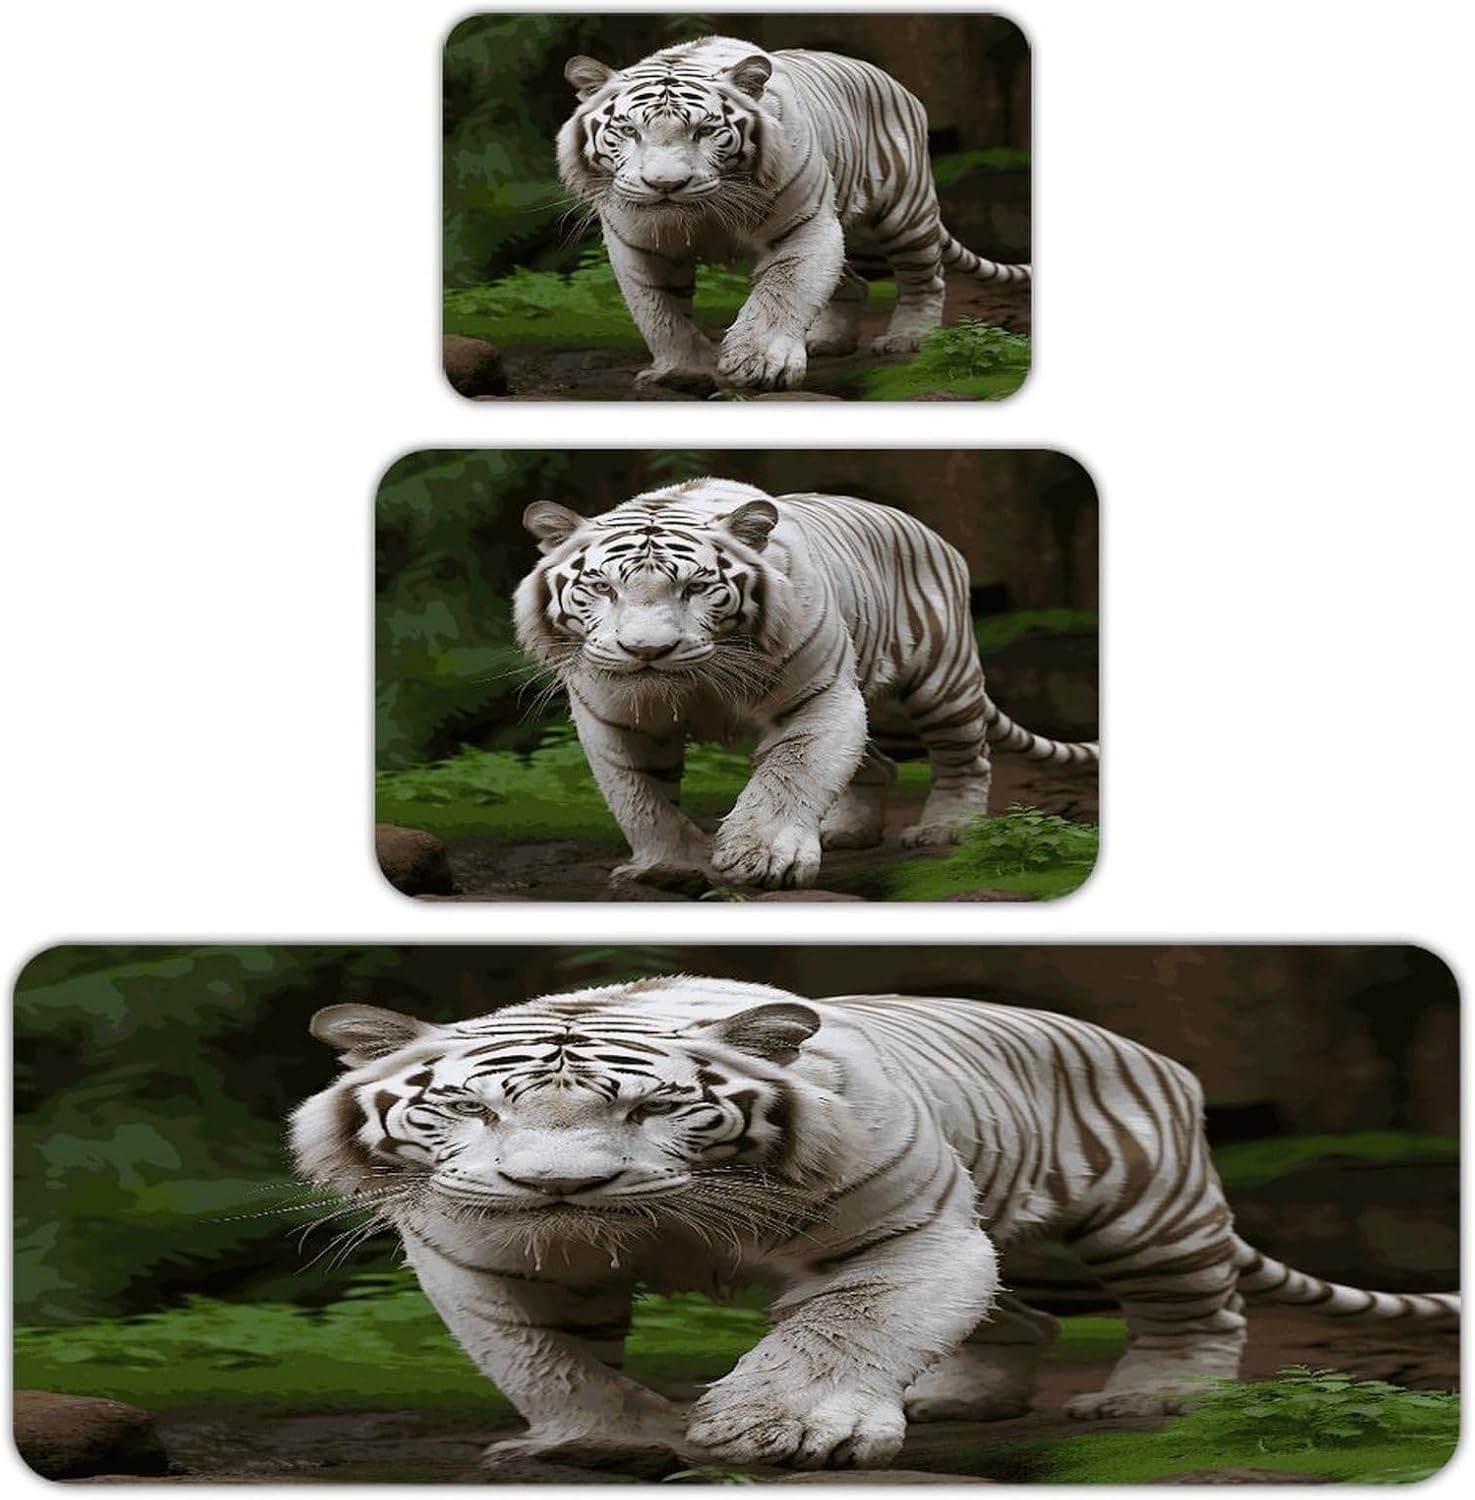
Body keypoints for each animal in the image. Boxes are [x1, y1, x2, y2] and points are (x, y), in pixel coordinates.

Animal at [289, 978, 1459, 1472]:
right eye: (473, 1110)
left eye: (652, 1109)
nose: (555, 1190)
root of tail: (1152, 1054)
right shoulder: (480, 1255)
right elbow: (549, 1357)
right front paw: (603, 1440)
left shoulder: (902, 1230)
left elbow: (839, 1330)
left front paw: (786, 1431)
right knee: (1022, 1318)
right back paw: (957, 1397)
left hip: (1145, 1212)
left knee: (1192, 1311)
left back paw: (1153, 1399)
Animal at [512, 477, 1096, 892]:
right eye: (602, 588)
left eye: (696, 587)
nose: (647, 651)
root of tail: (933, 535)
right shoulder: (612, 717)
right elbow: (641, 798)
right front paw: (668, 865)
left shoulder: (820, 696)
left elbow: (790, 775)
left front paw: (764, 858)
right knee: (878, 763)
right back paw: (847, 829)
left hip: (942, 681)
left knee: (965, 758)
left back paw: (946, 827)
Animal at [556, 35, 1030, 393]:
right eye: (628, 130)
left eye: (705, 130)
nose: (665, 185)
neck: (702, 216)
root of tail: (898, 85)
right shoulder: (636, 243)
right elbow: (660, 311)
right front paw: (683, 371)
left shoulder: (805, 224)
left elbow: (783, 291)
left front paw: (761, 364)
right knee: (853, 282)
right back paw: (828, 340)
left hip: (903, 214)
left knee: (924, 278)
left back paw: (909, 338)